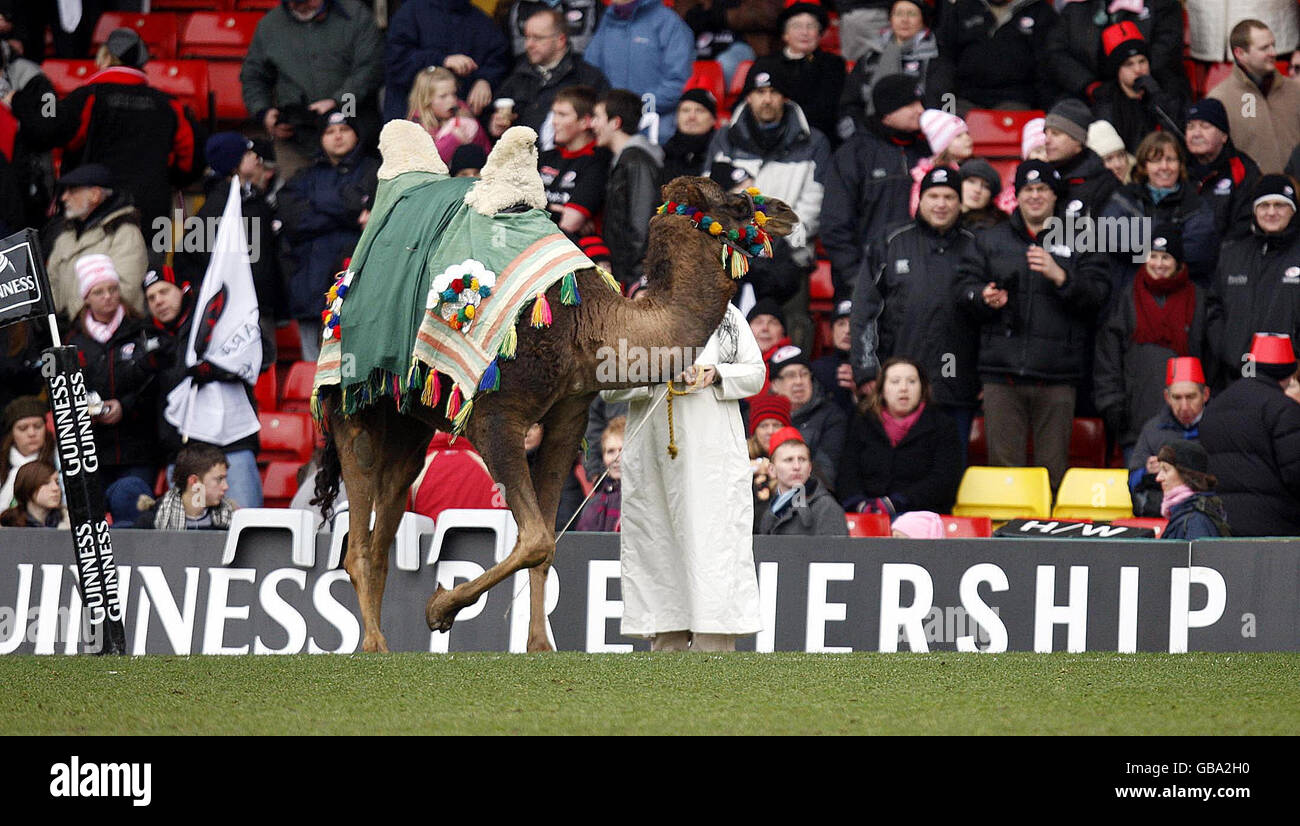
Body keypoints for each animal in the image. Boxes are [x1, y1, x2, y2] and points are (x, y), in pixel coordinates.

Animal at [312, 124, 800, 652]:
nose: (786, 212)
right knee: (358, 533)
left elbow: (546, 540)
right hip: (351, 402)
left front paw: (539, 646)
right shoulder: (496, 419)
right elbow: (534, 538)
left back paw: (380, 640)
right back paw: (372, 645)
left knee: (389, 512)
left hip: (408, 420)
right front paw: (439, 608)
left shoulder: (568, 415)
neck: (586, 323)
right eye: (737, 203)